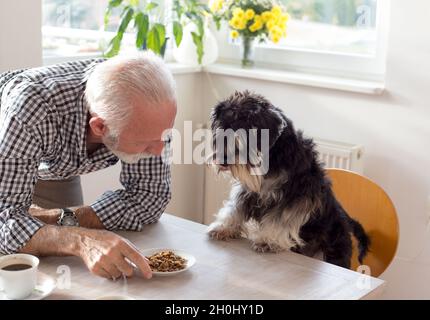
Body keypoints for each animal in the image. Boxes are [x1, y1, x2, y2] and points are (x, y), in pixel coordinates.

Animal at [207, 91, 368, 268]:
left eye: (244, 130)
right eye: (221, 127)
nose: (222, 161)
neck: (273, 155)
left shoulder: (295, 197)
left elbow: (281, 219)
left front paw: (267, 241)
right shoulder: (247, 191)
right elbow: (234, 208)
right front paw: (222, 227)